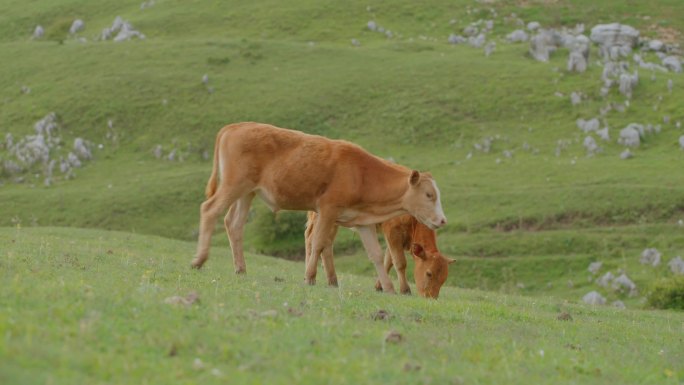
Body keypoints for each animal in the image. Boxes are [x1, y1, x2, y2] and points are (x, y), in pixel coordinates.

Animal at [192, 121, 448, 292]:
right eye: (429, 194)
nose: (443, 220)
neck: (361, 174)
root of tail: (235, 126)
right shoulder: (327, 210)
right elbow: (317, 243)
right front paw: (310, 277)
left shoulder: (363, 222)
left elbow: (375, 255)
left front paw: (388, 288)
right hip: (234, 185)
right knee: (210, 210)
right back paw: (199, 260)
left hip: (247, 193)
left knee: (233, 224)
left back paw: (240, 268)